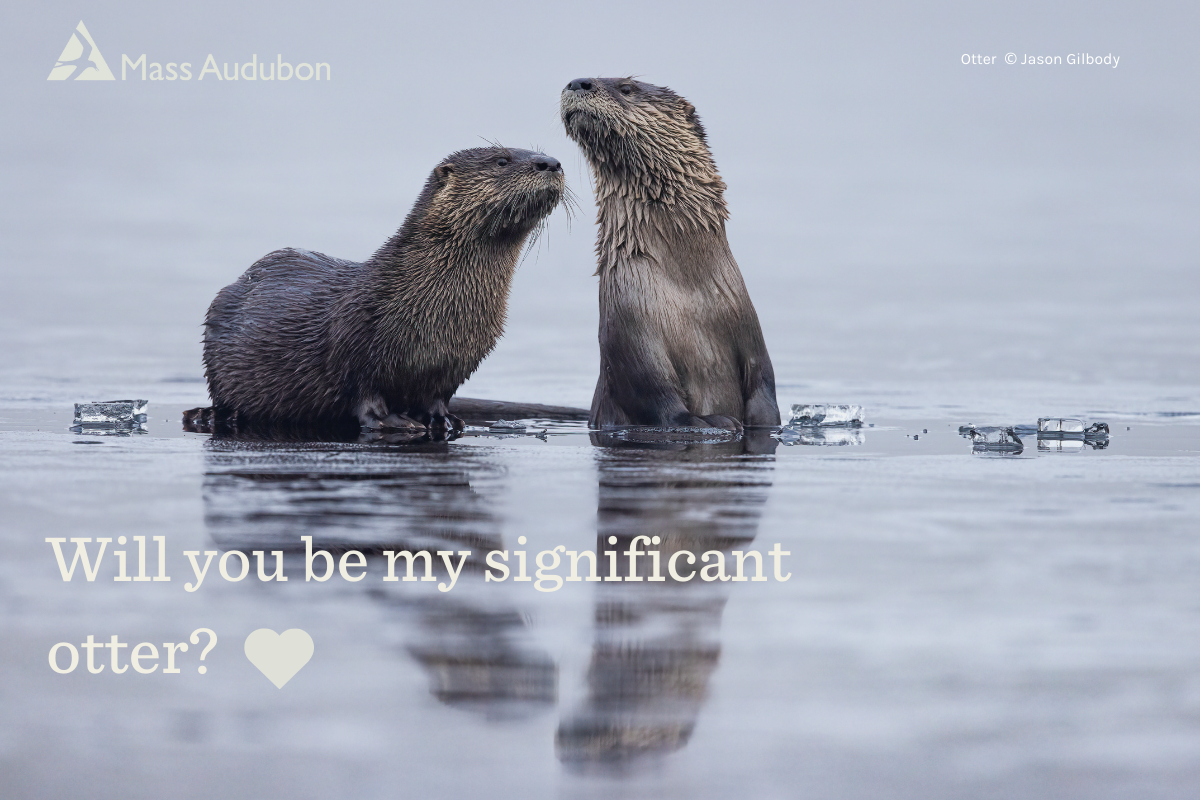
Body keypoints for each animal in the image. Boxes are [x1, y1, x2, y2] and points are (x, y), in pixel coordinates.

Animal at [196, 147, 565, 432]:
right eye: (502, 160)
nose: (551, 163)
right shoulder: (355, 343)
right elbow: (363, 394)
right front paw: (392, 421)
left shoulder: (456, 363)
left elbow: (436, 399)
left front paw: (445, 420)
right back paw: (209, 415)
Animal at [560, 78, 780, 431]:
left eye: (627, 87)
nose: (578, 82)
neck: (687, 292)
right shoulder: (628, 329)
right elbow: (656, 398)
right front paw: (715, 422)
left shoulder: (748, 327)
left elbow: (764, 383)